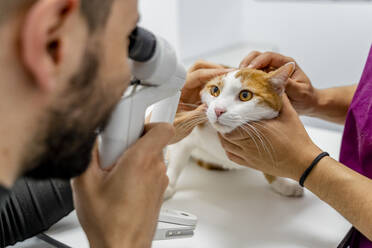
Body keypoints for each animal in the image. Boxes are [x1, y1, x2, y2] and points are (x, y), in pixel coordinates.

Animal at [164, 62, 304, 200]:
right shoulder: (187, 137)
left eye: (245, 95)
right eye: (215, 90)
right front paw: (167, 184)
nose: (218, 110)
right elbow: (177, 160)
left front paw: (282, 183)